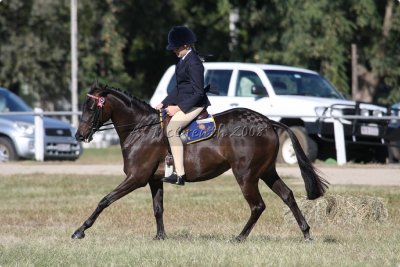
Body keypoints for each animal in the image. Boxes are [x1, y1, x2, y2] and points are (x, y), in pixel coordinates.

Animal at [72, 82, 328, 242]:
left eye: (92, 107)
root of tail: (267, 122)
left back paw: (240, 237)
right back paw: (306, 233)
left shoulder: (136, 178)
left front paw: (80, 230)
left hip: (246, 175)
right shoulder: (154, 180)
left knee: (258, 206)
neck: (141, 128)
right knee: (287, 196)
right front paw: (160, 237)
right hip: (266, 172)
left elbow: (105, 200)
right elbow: (158, 208)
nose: (79, 135)